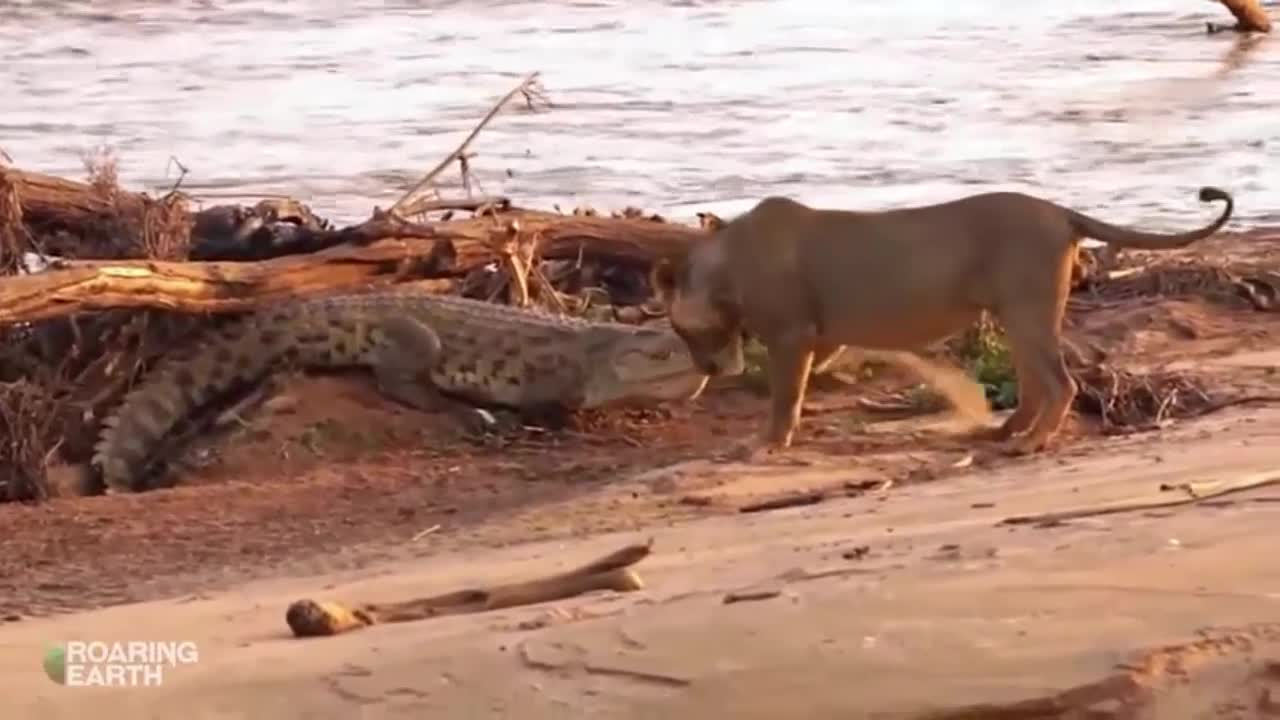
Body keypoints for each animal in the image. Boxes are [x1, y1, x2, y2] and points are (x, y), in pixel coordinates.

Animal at [655, 184, 1233, 453]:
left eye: (682, 332)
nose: (706, 371)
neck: (722, 265)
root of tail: (1058, 210)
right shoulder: (819, 334)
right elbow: (808, 375)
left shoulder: (791, 335)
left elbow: (784, 393)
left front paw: (770, 442)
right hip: (1018, 314)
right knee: (1035, 382)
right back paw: (1008, 431)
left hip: (1027, 311)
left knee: (1060, 382)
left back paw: (1029, 443)